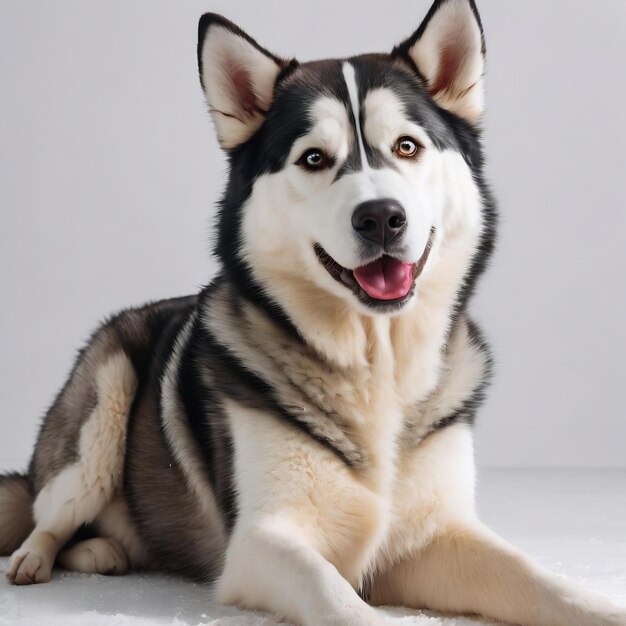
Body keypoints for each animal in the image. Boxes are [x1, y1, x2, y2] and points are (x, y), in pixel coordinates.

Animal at [1, 1, 624, 624]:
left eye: (407, 146)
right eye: (314, 158)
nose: (381, 217)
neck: (378, 365)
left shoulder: (431, 536)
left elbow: (545, 582)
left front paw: (600, 605)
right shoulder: (259, 541)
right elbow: (335, 594)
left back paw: (105, 550)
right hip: (100, 409)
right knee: (45, 514)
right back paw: (42, 558)